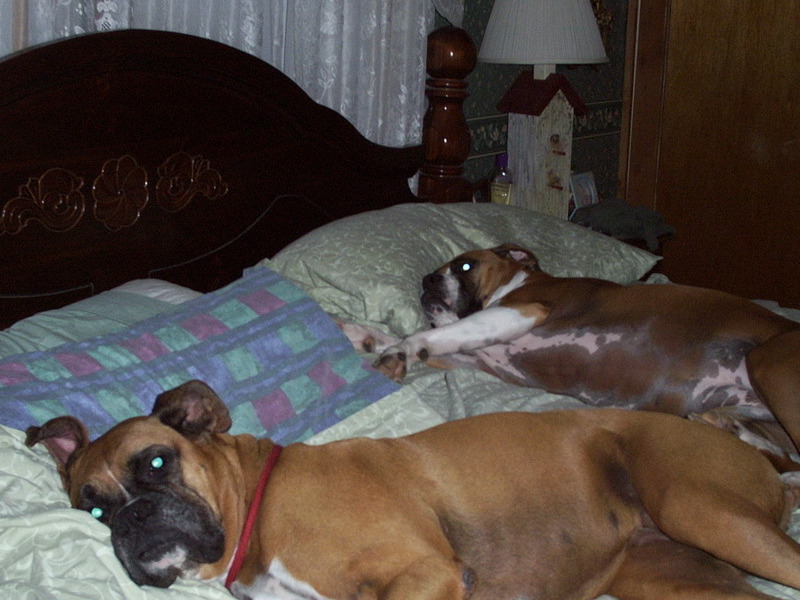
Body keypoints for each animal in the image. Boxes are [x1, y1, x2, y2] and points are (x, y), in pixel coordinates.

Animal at [25, 380, 800, 600]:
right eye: (92, 506)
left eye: (155, 464)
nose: (132, 522)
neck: (260, 505)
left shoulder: (424, 575)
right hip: (680, 581)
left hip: (704, 510)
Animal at [346, 243, 800, 464]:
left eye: (465, 266)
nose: (426, 279)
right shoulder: (467, 354)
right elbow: (428, 336)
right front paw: (364, 336)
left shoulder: (519, 311)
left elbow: (425, 335)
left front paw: (396, 350)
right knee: (785, 459)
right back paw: (730, 429)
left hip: (768, 365)